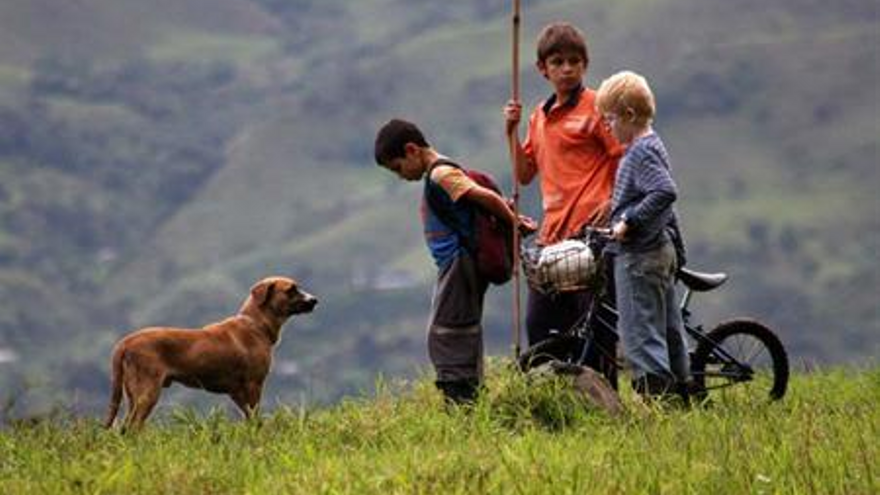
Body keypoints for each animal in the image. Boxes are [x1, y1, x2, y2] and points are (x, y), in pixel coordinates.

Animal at [104, 278, 316, 432]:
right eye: (290, 290)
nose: (315, 300)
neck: (256, 324)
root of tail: (125, 342)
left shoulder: (237, 392)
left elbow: (249, 417)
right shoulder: (254, 384)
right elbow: (255, 415)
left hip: (132, 394)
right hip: (147, 392)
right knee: (132, 426)